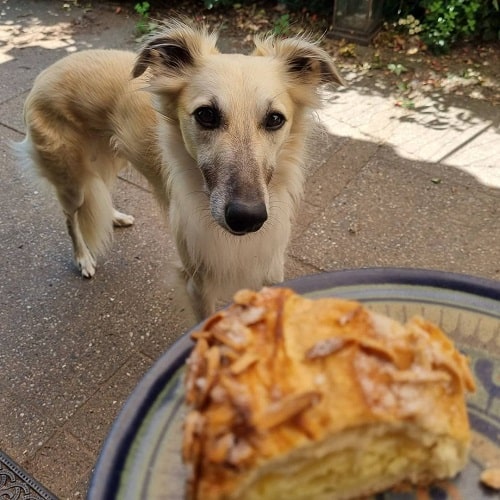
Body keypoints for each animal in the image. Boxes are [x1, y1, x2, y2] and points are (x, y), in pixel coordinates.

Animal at [16, 21, 344, 318]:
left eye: (275, 119)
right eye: (206, 115)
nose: (247, 219)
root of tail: (52, 68)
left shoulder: (268, 273)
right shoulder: (198, 284)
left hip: (110, 157)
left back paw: (115, 217)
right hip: (71, 179)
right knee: (71, 217)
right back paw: (83, 258)